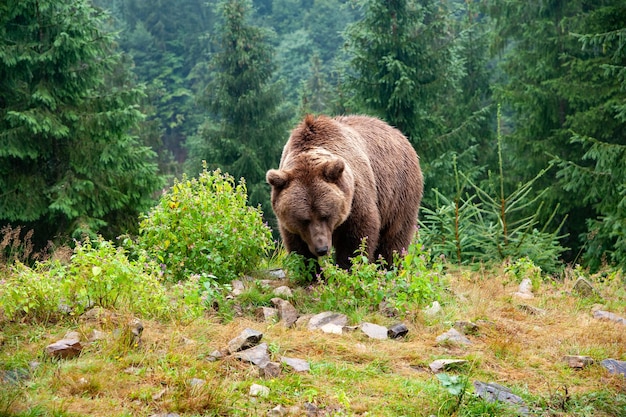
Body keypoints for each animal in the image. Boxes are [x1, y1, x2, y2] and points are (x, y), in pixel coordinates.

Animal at [266, 114, 422, 270]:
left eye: (325, 215)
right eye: (304, 220)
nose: (322, 249)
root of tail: (398, 133)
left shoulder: (354, 198)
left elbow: (356, 240)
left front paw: (347, 267)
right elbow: (298, 247)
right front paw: (311, 269)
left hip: (399, 191)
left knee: (395, 237)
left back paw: (390, 266)